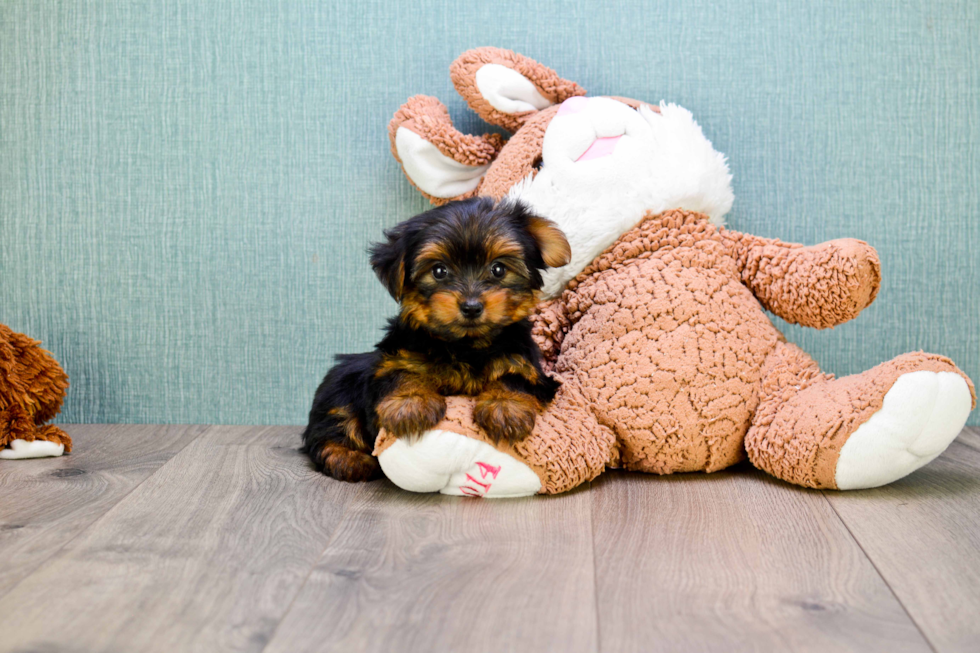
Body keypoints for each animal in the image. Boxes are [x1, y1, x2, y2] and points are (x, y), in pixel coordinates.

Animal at [302, 196, 572, 482]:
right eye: (439, 271)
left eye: (498, 269)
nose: (471, 307)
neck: (465, 345)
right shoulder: (393, 361)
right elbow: (401, 374)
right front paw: (411, 402)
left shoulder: (527, 365)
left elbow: (516, 378)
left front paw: (504, 406)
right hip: (338, 387)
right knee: (331, 427)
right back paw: (349, 459)